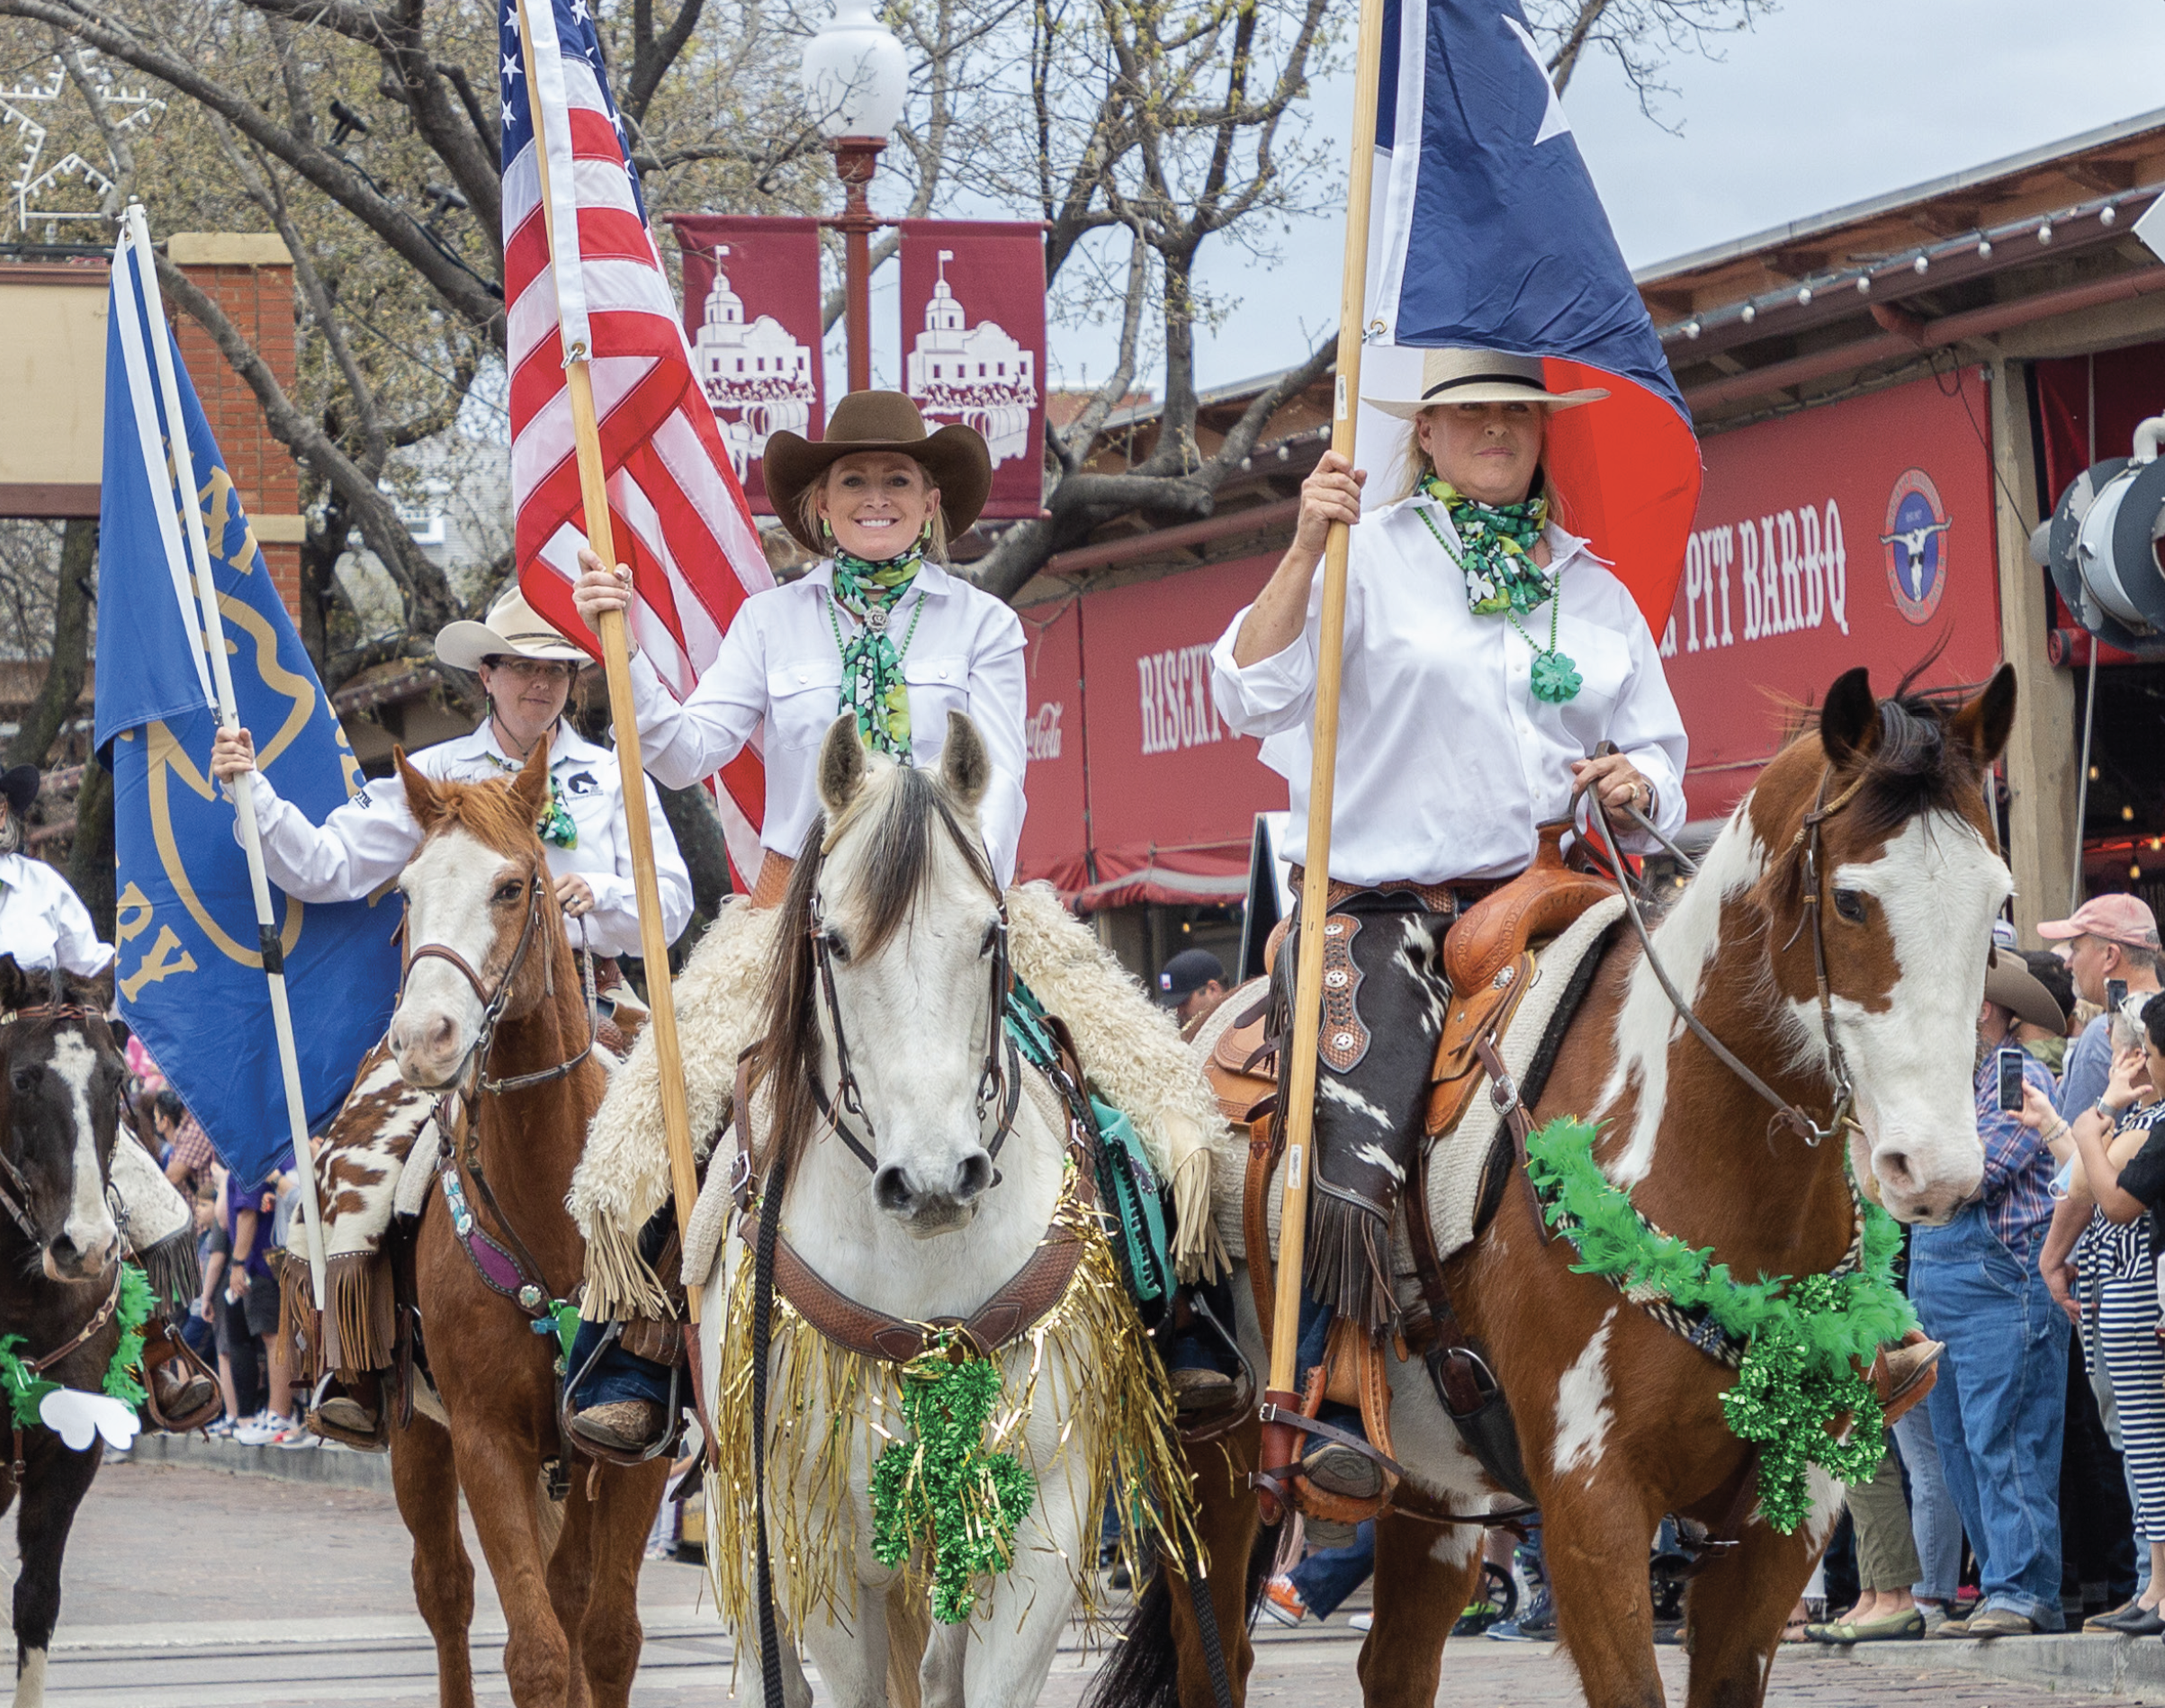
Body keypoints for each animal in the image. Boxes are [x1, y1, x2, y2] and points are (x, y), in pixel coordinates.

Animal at [381, 749, 667, 1705]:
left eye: (512, 887)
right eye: (404, 892)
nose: (424, 1037)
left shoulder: (635, 1447)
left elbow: (605, 1634)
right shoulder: (484, 1440)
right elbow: (535, 1650)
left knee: (569, 1592)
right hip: (413, 1433)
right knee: (445, 1592)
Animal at [1126, 662, 2017, 1705]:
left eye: (1994, 903)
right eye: (1849, 901)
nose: (1936, 1168)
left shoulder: (1784, 1516)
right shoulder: (1594, 1505)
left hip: (1435, 1484)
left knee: (1395, 1660)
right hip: (1217, 1462)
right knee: (1214, 1651)